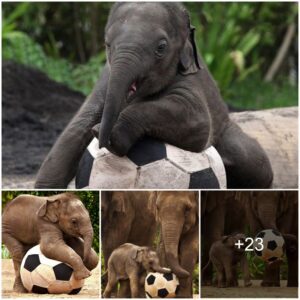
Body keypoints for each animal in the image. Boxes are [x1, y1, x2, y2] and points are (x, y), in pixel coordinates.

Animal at [34, 2, 272, 190]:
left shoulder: (190, 78)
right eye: (107, 44)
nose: (102, 139)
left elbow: (198, 123)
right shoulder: (106, 77)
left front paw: (109, 133)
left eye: (161, 47)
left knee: (255, 162)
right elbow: (77, 127)